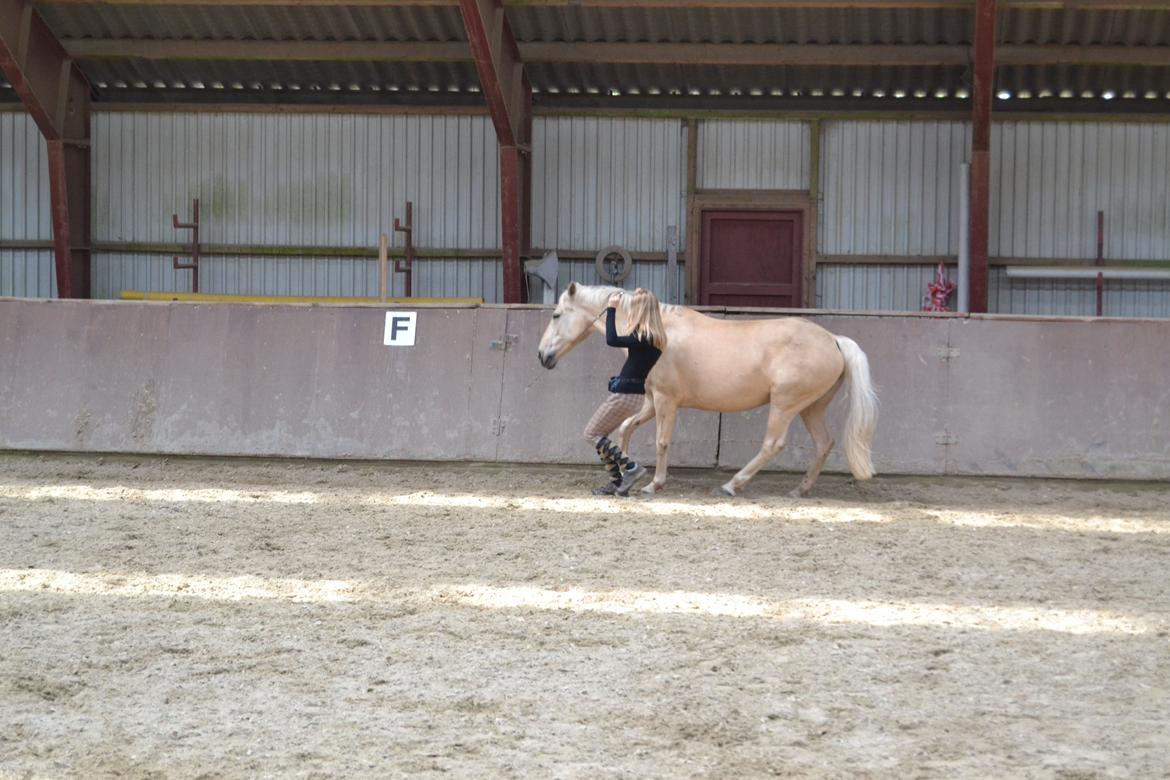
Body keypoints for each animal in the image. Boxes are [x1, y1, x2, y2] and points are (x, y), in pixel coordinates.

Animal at [535, 284, 875, 498]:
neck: (655, 331)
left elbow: (661, 442)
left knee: (773, 444)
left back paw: (732, 485)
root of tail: (833, 339)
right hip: (811, 408)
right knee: (824, 444)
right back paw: (799, 489)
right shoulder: (651, 402)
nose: (542, 356)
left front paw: (652, 485)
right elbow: (625, 428)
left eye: (556, 315)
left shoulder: (666, 401)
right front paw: (624, 475)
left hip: (785, 405)